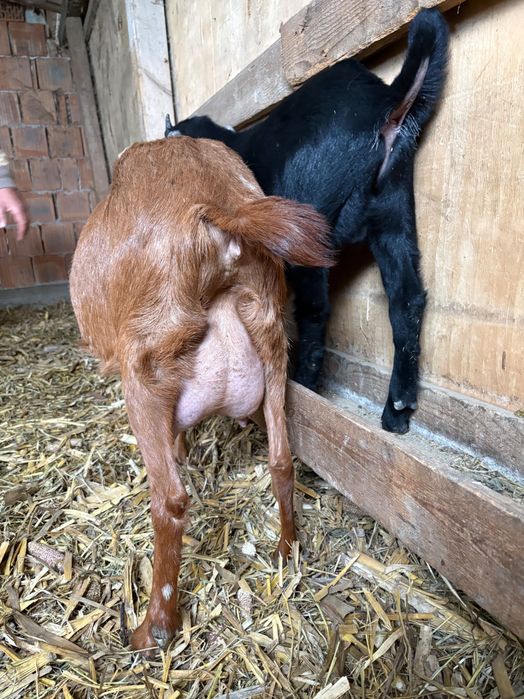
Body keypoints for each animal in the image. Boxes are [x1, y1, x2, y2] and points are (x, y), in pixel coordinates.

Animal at [69, 137, 332, 652]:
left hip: (144, 370)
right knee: (281, 459)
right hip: (273, 347)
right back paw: (286, 552)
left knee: (170, 500)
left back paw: (152, 630)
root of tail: (217, 208)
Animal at [165, 8, 449, 434]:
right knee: (407, 299)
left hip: (307, 228)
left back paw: (304, 384)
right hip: (395, 211)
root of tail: (383, 102)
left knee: (315, 310)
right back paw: (397, 409)